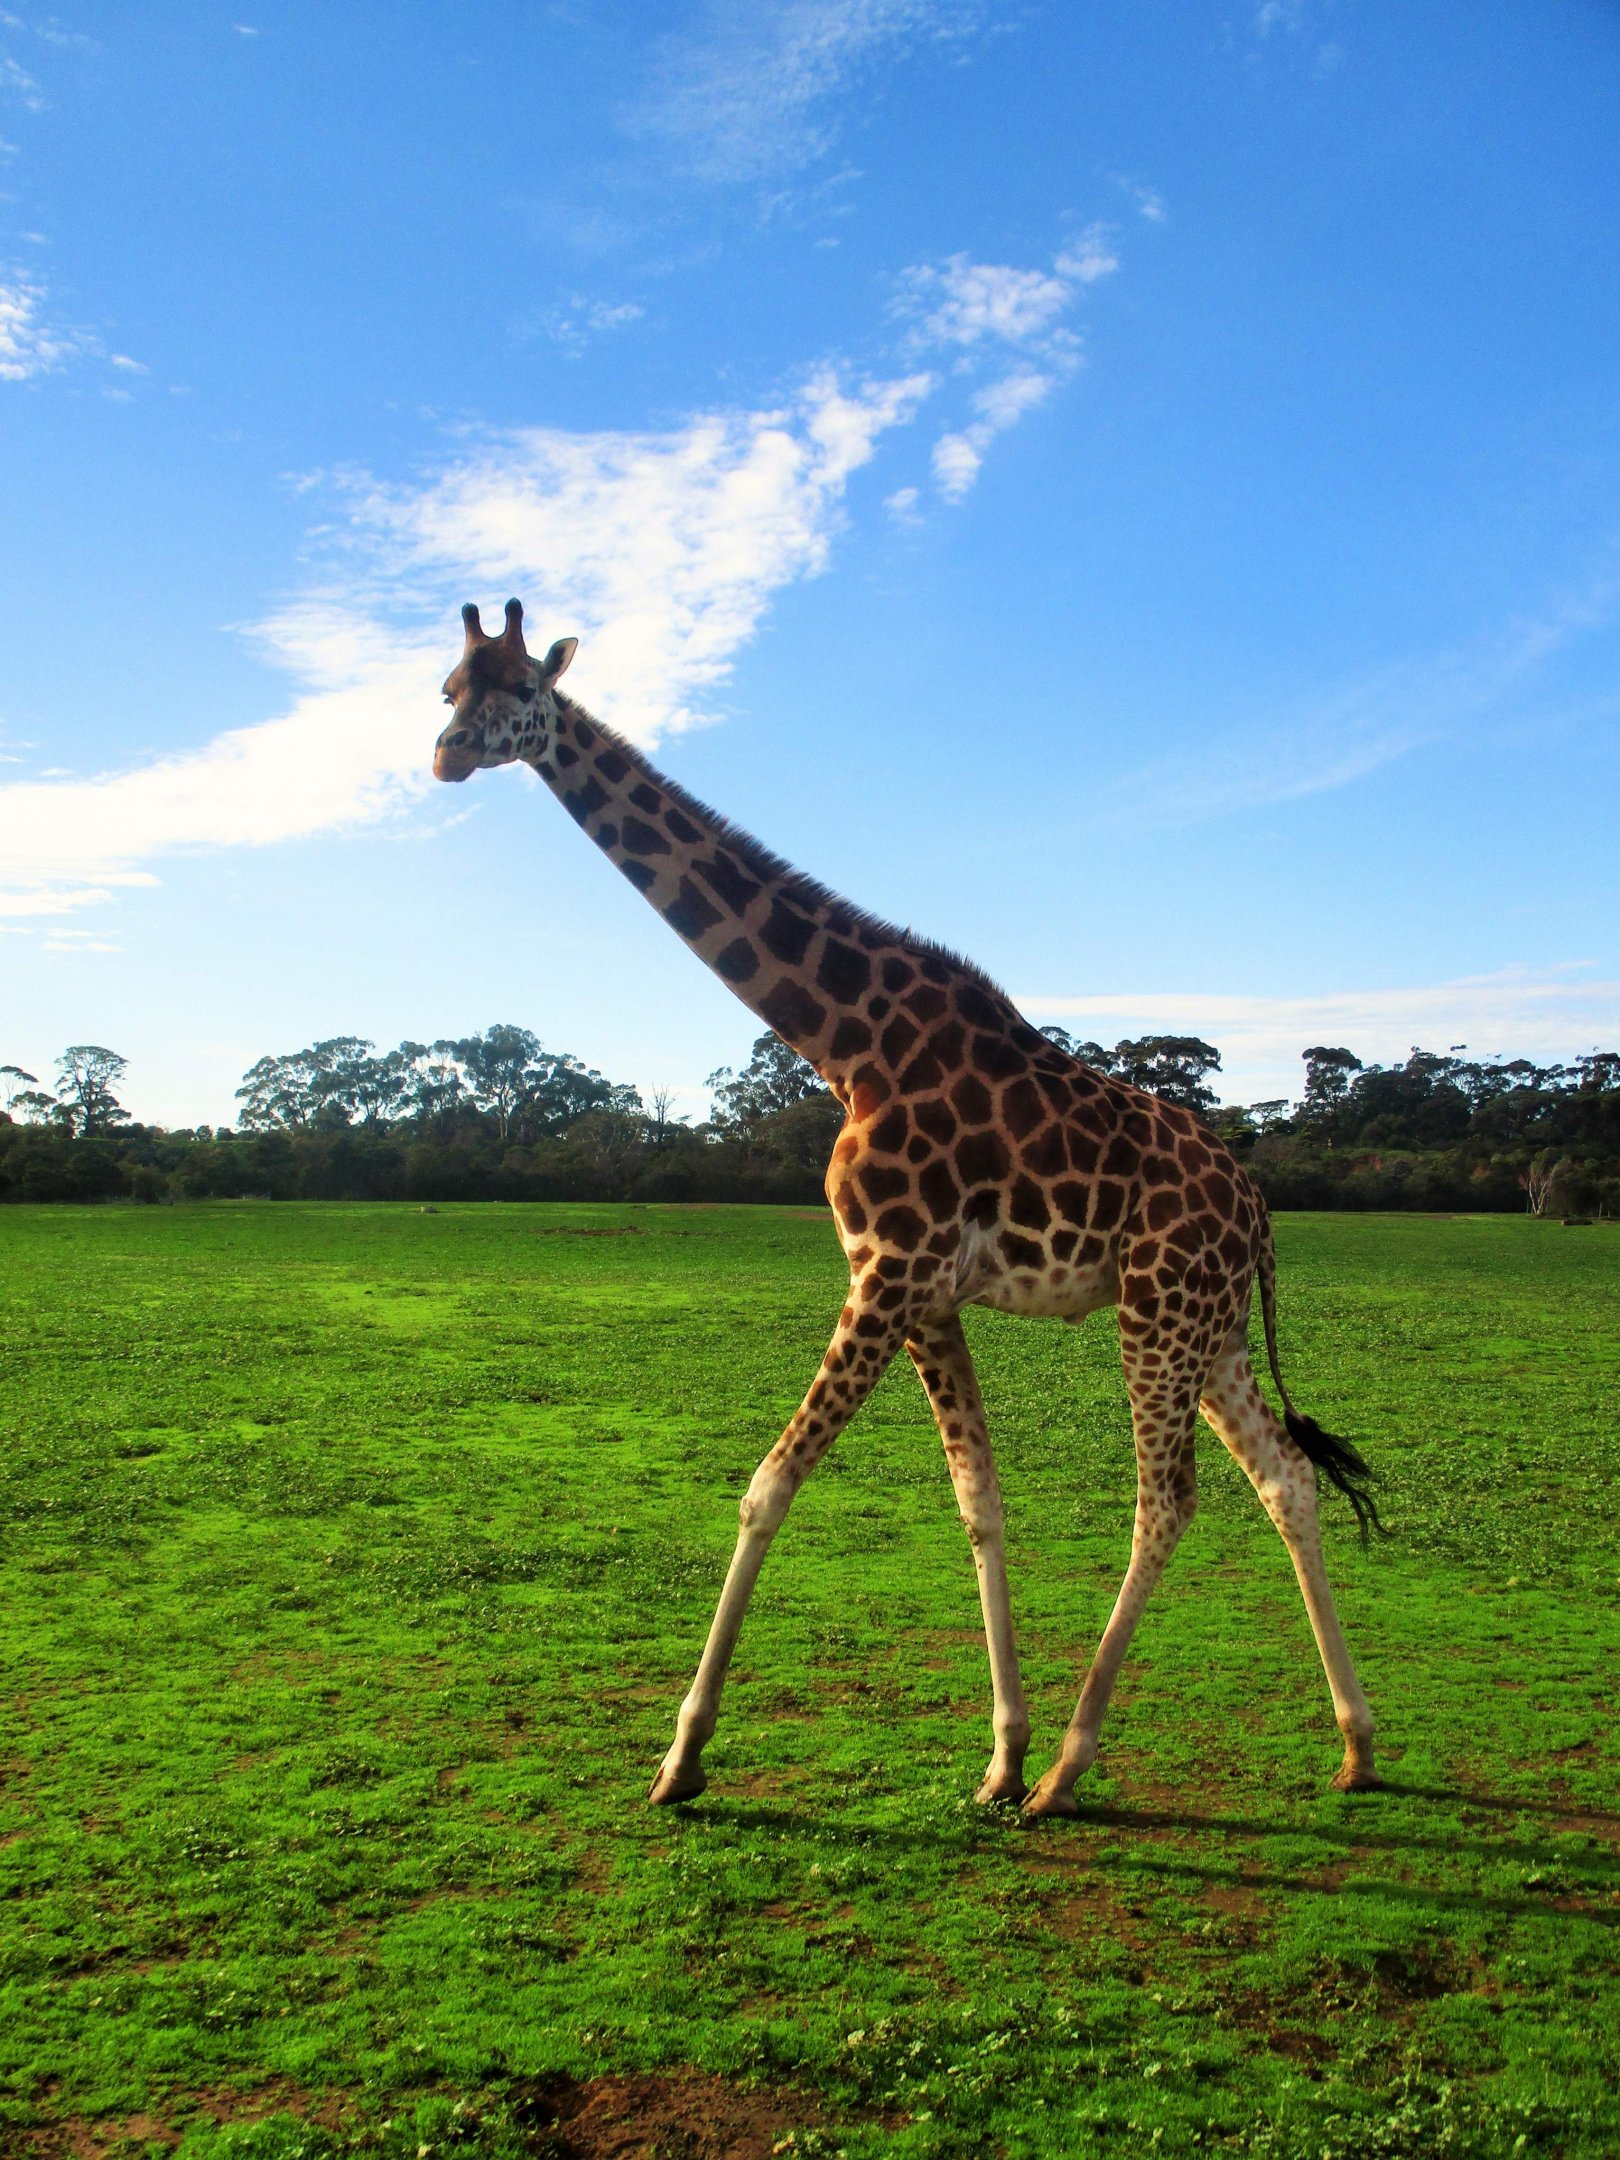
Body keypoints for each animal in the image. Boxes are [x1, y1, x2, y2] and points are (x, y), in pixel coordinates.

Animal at [434, 600, 1384, 1816]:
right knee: (1287, 1480)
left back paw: (1074, 1766)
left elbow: (768, 1484)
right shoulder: (925, 1290)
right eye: (447, 687)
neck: (844, 1044)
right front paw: (1000, 1751)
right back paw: (1354, 1745)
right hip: (1209, 1329)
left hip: (1157, 1313)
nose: (447, 754)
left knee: (1167, 1501)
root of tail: (1259, 1214)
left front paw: (682, 1757)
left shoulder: (885, 1269)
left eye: (519, 691)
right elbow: (979, 1499)